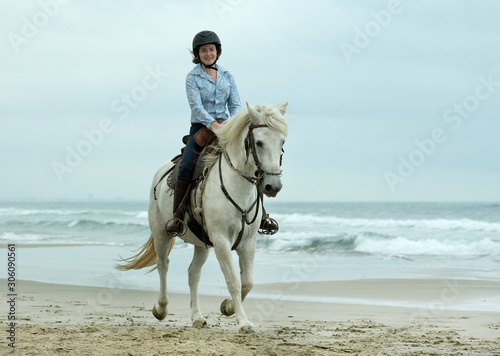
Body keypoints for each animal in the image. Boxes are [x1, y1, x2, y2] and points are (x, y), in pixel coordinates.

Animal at [118, 102, 290, 334]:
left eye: (282, 142)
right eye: (259, 142)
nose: (273, 186)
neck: (238, 187)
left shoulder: (248, 243)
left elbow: (247, 282)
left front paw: (227, 307)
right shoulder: (221, 241)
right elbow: (233, 280)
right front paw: (244, 323)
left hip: (202, 244)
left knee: (193, 274)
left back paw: (197, 317)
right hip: (161, 233)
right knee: (163, 265)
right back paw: (160, 309)